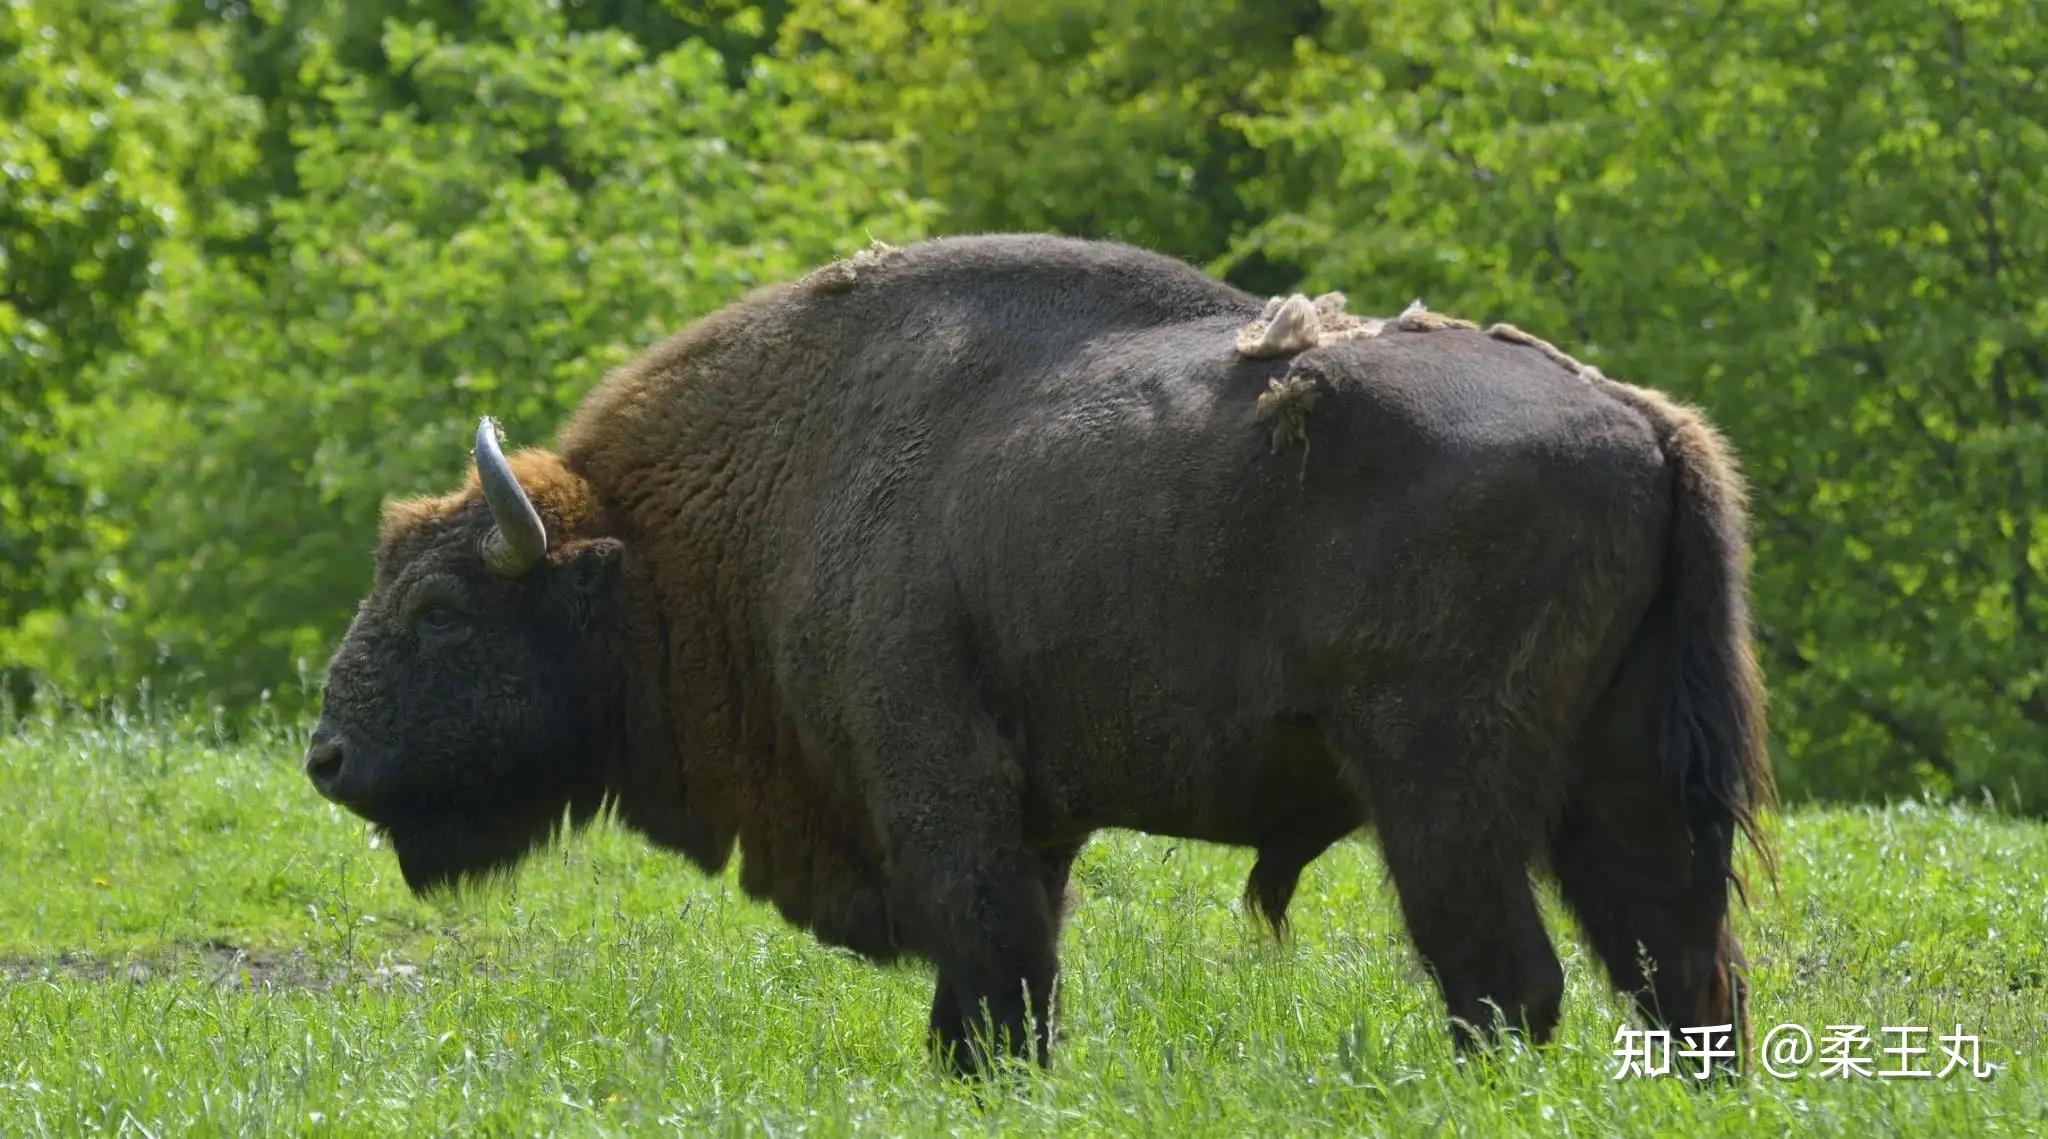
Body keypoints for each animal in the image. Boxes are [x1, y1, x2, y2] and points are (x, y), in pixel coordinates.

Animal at [311, 235, 1769, 1073]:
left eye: (440, 609)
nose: (326, 758)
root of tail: (1641, 419)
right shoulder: (1037, 815)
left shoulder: (942, 787)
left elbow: (995, 965)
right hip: (1623, 779)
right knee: (1679, 965)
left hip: (1440, 786)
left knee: (1508, 977)